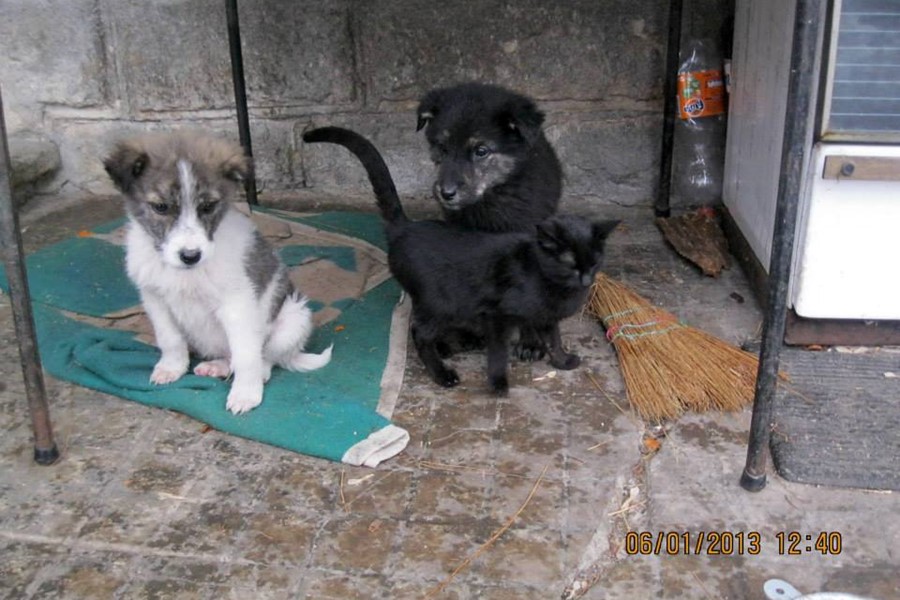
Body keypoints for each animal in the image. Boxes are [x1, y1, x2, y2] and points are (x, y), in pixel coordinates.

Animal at [103, 131, 332, 415]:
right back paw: (216, 366)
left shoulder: (237, 306)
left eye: (208, 206)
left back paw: (254, 372)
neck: (186, 273)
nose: (191, 255)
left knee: (265, 357)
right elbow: (170, 339)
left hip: (294, 318)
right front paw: (171, 368)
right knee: (229, 355)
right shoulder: (155, 299)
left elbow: (246, 356)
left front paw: (245, 394)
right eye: (161, 207)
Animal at [303, 126, 618, 395]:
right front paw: (499, 384)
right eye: (569, 261)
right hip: (440, 302)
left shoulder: (546, 317)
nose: (586, 279)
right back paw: (443, 372)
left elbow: (554, 340)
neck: (548, 282)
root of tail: (405, 228)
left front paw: (563, 361)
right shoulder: (498, 316)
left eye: (594, 261)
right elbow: (499, 352)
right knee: (419, 332)